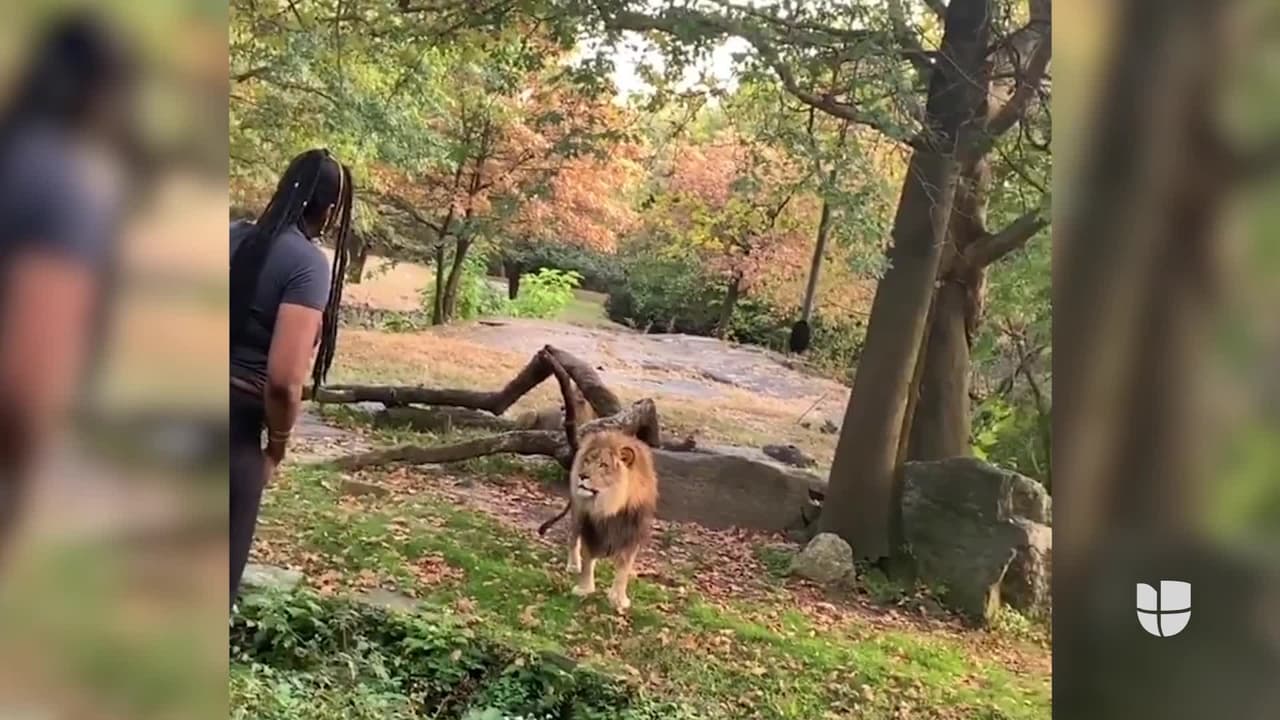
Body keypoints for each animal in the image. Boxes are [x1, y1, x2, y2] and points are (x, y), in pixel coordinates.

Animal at [553, 430, 658, 612]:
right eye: (587, 461)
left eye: (603, 465)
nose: (582, 476)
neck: (609, 505)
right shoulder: (590, 528)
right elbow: (588, 560)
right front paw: (584, 589)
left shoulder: (631, 534)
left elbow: (623, 569)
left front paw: (618, 599)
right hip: (577, 514)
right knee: (572, 539)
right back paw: (573, 564)